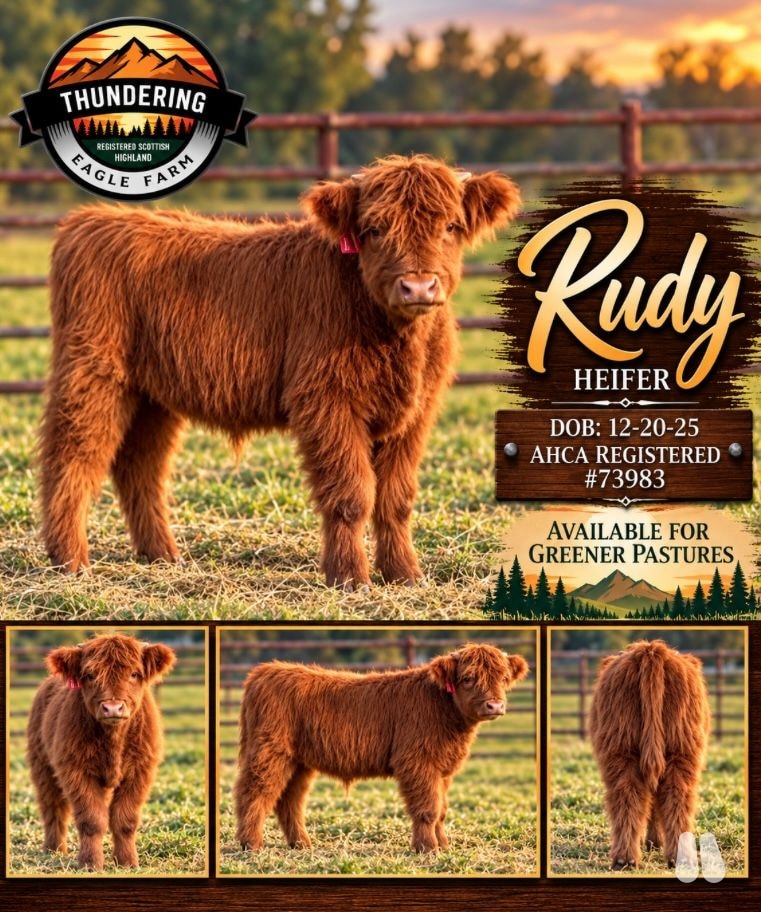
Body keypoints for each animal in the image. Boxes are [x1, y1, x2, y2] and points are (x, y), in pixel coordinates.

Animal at [26, 632, 176, 870]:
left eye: (134, 673)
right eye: (90, 675)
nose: (112, 708)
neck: (113, 739)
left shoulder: (140, 771)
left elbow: (125, 819)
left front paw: (127, 862)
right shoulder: (76, 770)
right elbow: (91, 820)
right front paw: (90, 863)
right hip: (42, 764)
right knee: (52, 806)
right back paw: (53, 849)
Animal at [40, 154, 520, 588]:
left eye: (451, 226)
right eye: (374, 229)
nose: (418, 286)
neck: (395, 336)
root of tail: (92, 219)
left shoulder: (416, 413)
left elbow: (395, 499)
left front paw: (405, 575)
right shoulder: (326, 401)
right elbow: (351, 494)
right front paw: (350, 578)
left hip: (153, 396)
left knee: (140, 466)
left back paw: (161, 555)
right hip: (92, 376)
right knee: (72, 458)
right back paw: (70, 560)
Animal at [233, 642, 529, 853]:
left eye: (504, 678)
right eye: (467, 678)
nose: (495, 705)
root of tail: (265, 671)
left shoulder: (442, 769)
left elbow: (442, 810)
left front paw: (444, 846)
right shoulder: (417, 763)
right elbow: (428, 809)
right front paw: (427, 849)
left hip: (299, 762)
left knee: (290, 800)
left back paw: (301, 844)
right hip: (270, 752)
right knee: (254, 792)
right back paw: (251, 844)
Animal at [588, 639, 711, 870]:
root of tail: (651, 650)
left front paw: (654, 842)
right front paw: (654, 842)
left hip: (632, 749)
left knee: (641, 795)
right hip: (669, 749)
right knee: (663, 795)